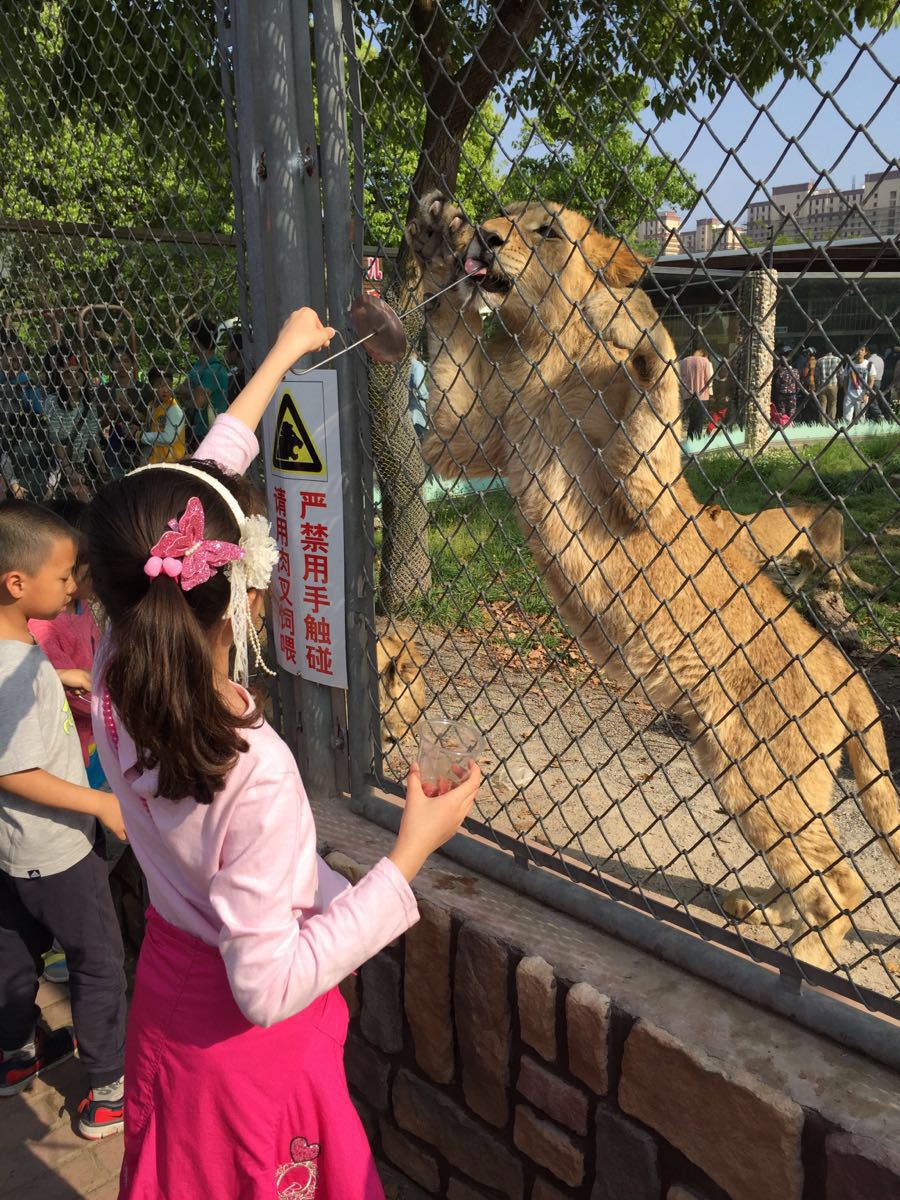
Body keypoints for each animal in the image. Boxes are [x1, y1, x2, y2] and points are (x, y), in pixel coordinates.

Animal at [410, 192, 900, 969]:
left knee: (842, 883)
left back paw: (809, 957)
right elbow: (453, 344)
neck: (538, 352)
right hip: (751, 775)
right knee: (814, 873)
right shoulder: (465, 442)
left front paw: (636, 328)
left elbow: (657, 387)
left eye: (547, 230)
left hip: (764, 773)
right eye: (503, 213)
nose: (484, 237)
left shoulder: (649, 493)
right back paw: (764, 914)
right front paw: (435, 245)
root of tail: (848, 675)